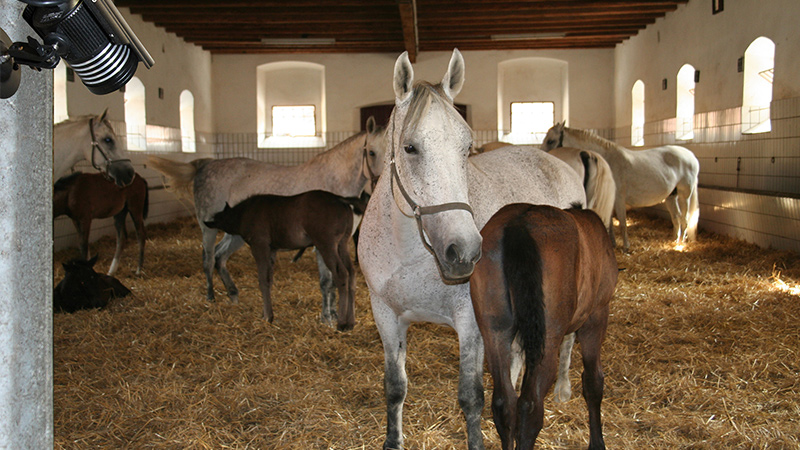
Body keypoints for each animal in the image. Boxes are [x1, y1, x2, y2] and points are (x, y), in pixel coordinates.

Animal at [204, 190, 364, 330]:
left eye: (218, 217)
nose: (207, 222)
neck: (244, 213)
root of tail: (340, 199)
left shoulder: (259, 245)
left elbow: (262, 280)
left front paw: (267, 317)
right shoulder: (272, 250)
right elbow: (269, 280)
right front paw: (267, 314)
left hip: (327, 245)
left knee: (341, 274)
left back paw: (342, 323)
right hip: (342, 244)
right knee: (352, 273)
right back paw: (351, 322)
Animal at [358, 49, 586, 450]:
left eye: (466, 148)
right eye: (410, 147)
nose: (462, 250)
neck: (411, 252)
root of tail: (560, 164)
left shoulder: (470, 324)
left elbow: (471, 397)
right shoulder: (386, 315)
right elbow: (395, 387)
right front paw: (393, 441)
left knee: (567, 338)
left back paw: (562, 389)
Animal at [470, 203, 618, 450]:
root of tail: (519, 224)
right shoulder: (596, 316)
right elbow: (593, 381)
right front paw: (597, 442)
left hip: (495, 332)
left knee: (504, 402)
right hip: (548, 339)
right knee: (530, 405)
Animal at [541, 122, 700, 252]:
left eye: (551, 140)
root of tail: (691, 156)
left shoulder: (618, 199)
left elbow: (622, 223)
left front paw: (626, 247)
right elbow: (611, 222)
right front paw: (612, 243)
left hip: (685, 195)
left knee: (685, 218)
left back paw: (681, 244)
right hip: (671, 197)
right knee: (676, 217)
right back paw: (674, 240)